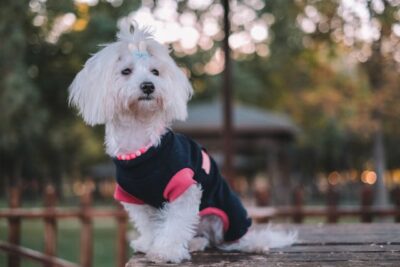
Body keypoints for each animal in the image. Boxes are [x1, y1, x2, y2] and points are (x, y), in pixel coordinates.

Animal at [68, 20, 296, 264]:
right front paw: (149, 243)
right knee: (204, 237)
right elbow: (150, 226)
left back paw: (254, 244)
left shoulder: (183, 187)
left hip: (229, 213)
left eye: (155, 72)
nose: (148, 86)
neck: (142, 148)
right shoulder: (134, 197)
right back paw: (195, 243)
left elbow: (175, 224)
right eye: (126, 71)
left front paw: (165, 251)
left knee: (231, 238)